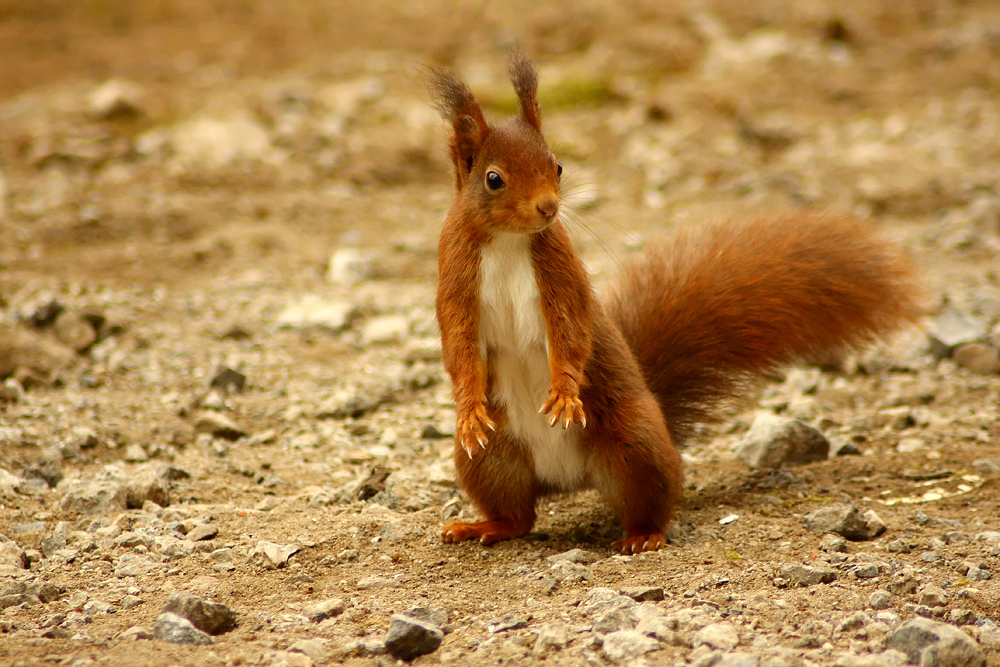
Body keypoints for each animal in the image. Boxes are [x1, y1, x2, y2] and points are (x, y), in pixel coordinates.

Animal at [426, 51, 916, 552]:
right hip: (487, 460)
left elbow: (570, 332)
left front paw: (563, 393)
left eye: (557, 165)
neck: (508, 241)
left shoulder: (561, 278)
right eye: (493, 179)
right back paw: (481, 525)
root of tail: (566, 480)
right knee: (519, 517)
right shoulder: (456, 283)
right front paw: (469, 409)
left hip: (635, 443)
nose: (548, 207)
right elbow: (459, 346)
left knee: (653, 497)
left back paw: (644, 535)